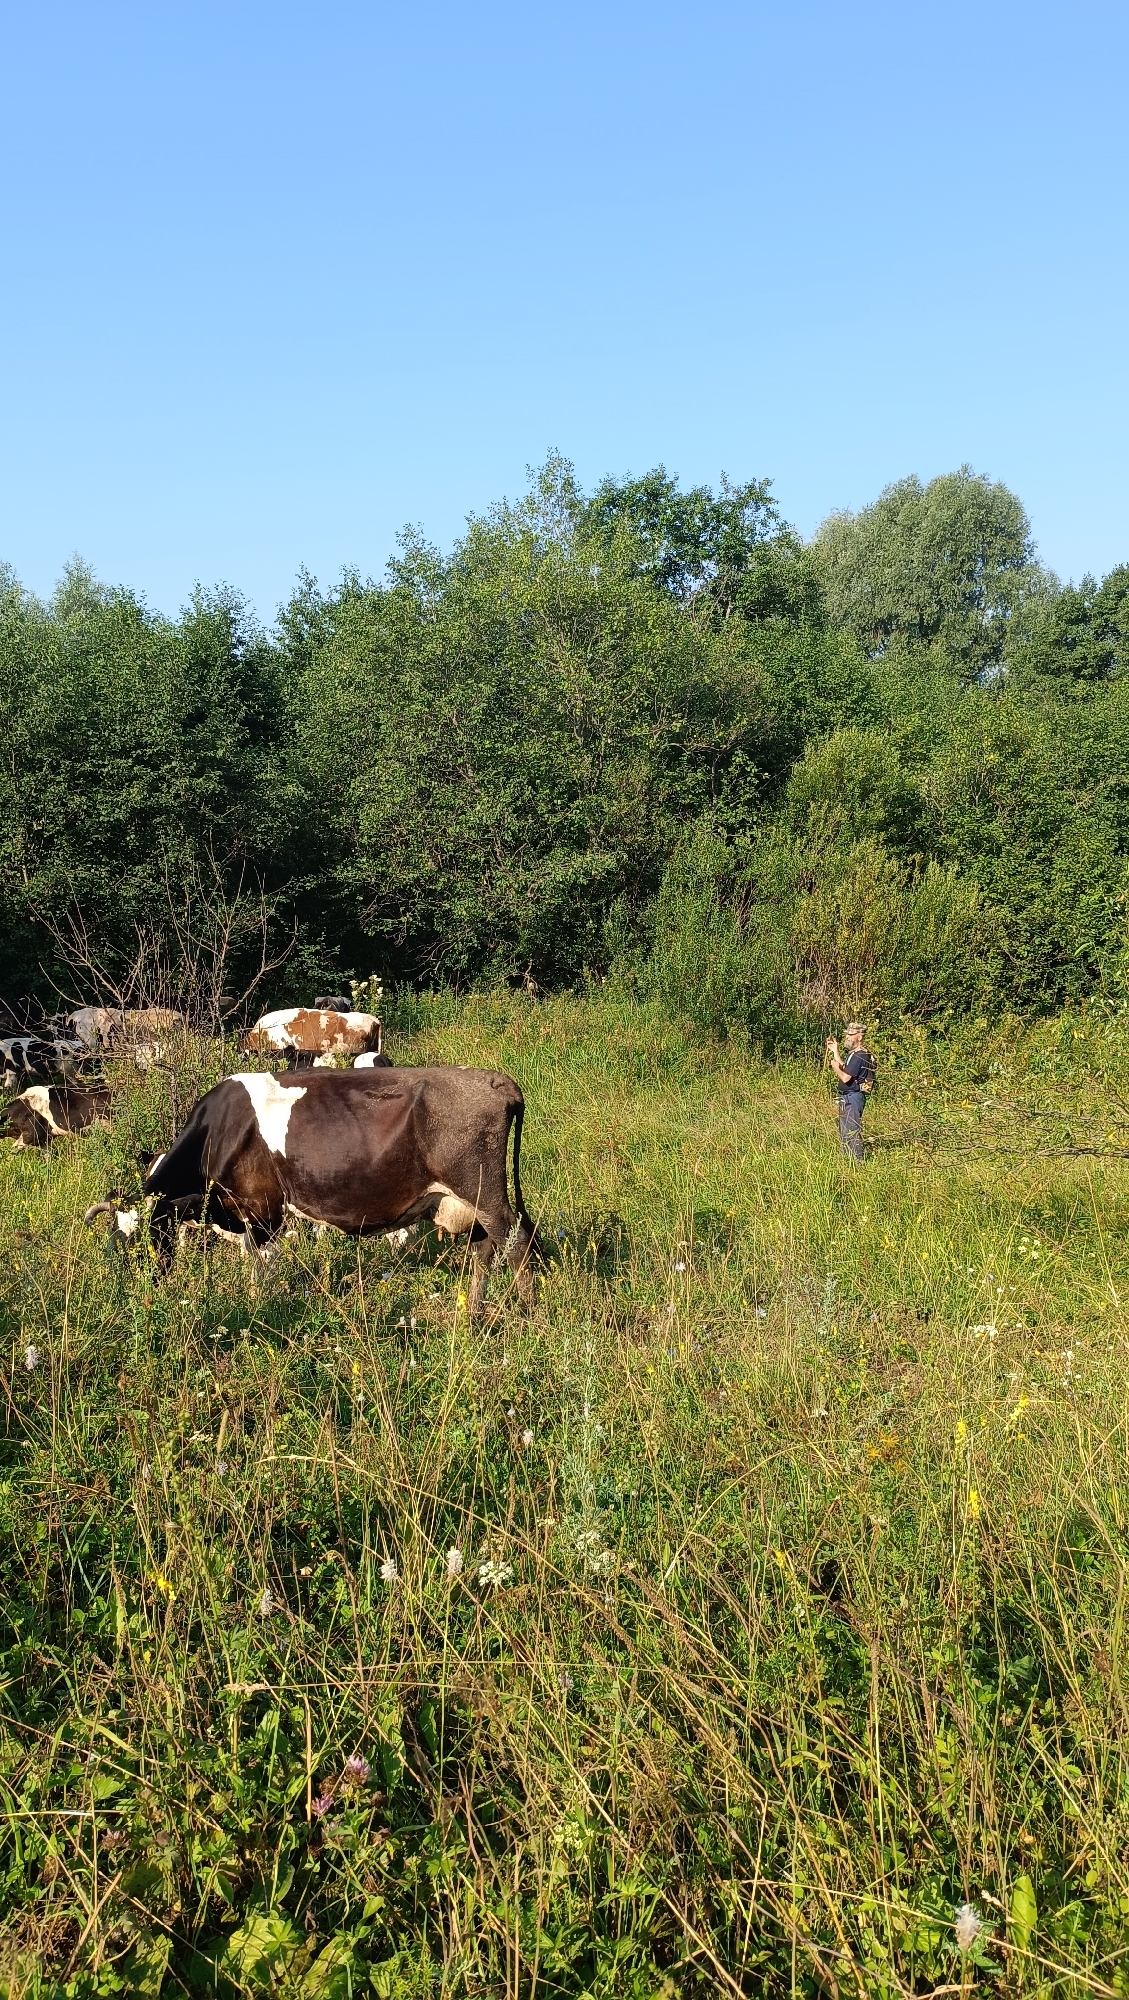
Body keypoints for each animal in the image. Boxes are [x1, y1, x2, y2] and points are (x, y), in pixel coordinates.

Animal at [85, 1066, 537, 1312]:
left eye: (139, 1241)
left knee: (517, 1243)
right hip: (467, 1203)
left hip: (485, 1194)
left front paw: (258, 1315)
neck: (219, 1129)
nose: (143, 1293)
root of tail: (494, 1080)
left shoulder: (264, 1212)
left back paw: (528, 1318)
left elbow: (260, 1272)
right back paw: (472, 1316)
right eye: (115, 1244)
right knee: (483, 1251)